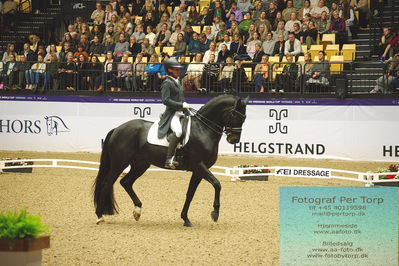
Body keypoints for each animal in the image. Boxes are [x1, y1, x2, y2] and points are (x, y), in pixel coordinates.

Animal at [95, 94, 248, 225]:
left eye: (244, 117)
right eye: (234, 115)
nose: (234, 140)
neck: (203, 129)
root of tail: (117, 129)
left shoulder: (198, 171)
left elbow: (190, 193)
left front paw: (185, 219)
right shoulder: (199, 165)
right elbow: (217, 184)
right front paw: (215, 213)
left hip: (140, 165)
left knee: (126, 182)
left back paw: (137, 211)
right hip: (119, 163)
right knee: (107, 184)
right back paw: (100, 216)